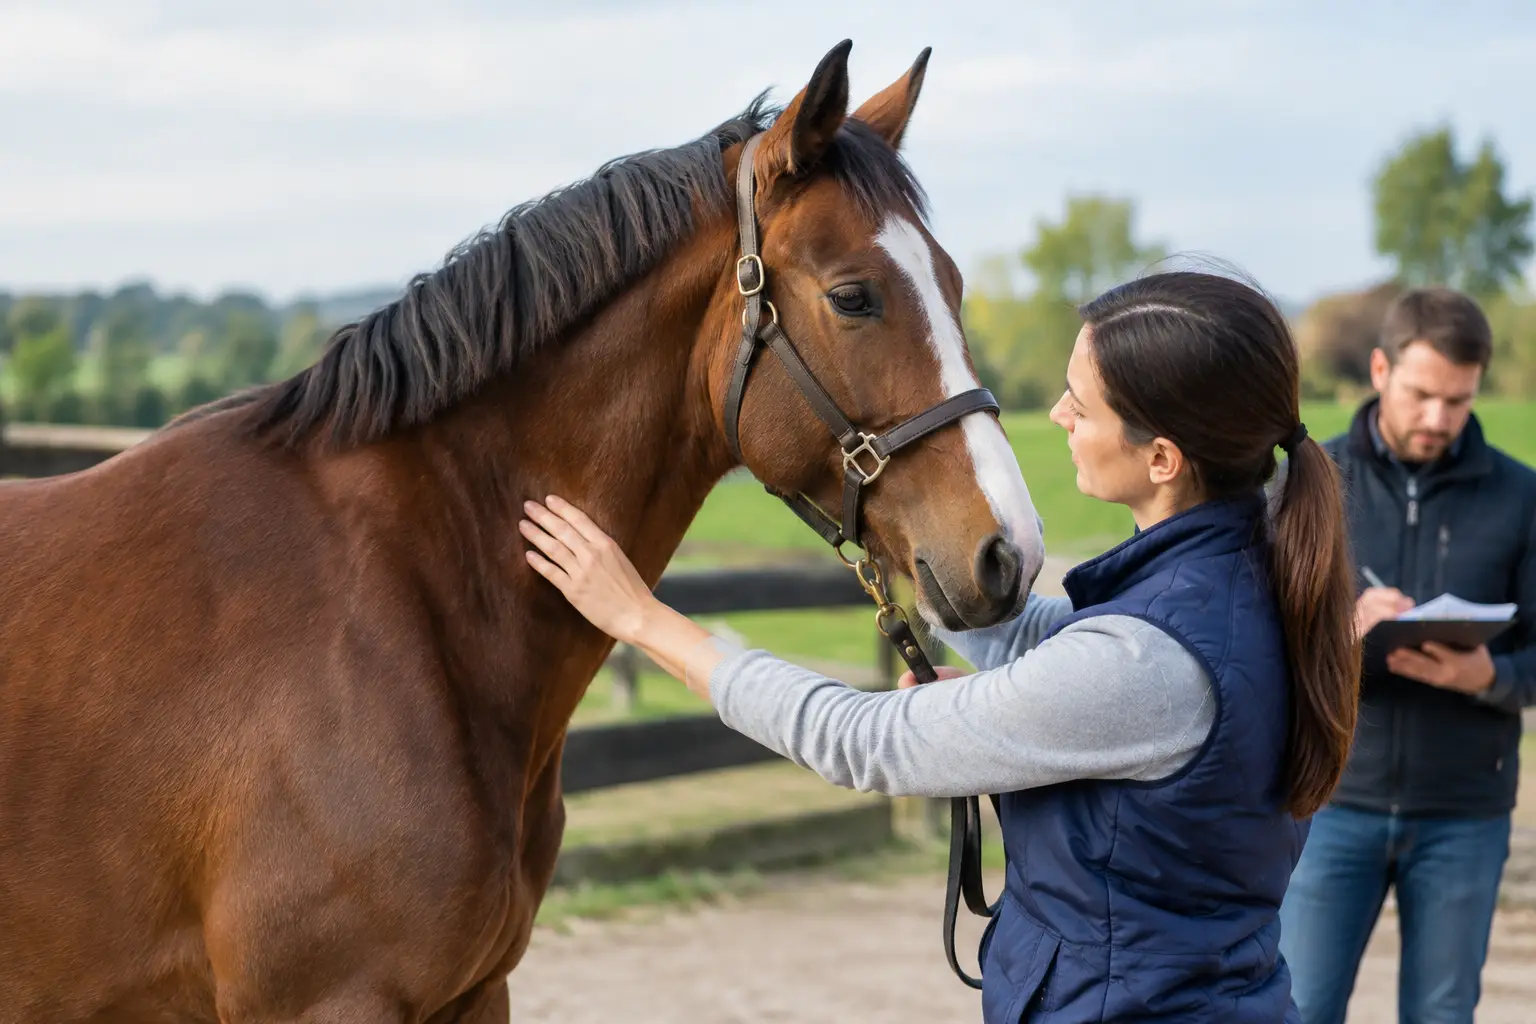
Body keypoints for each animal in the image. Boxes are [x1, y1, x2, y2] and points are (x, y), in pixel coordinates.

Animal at [0, 40, 1044, 1022]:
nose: (1010, 553)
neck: (397, 596)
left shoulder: (476, 991)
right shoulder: (324, 999)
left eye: (954, 283)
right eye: (853, 296)